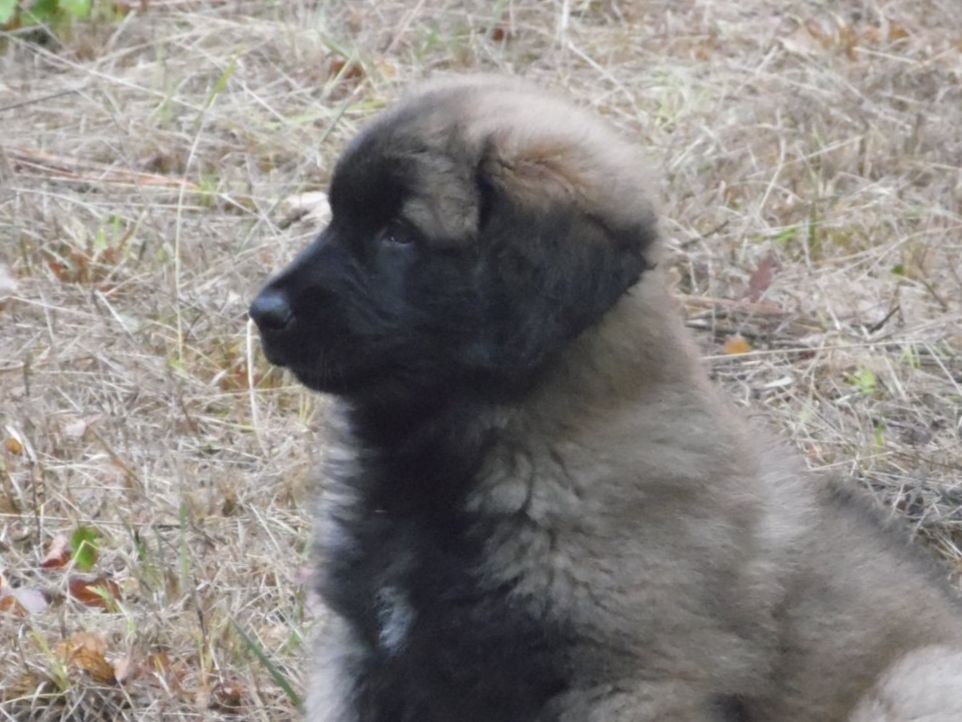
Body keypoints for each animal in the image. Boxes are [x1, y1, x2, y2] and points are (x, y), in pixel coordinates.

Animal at [249, 75, 962, 721]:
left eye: (399, 232)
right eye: (337, 218)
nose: (263, 312)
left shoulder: (629, 681)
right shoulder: (361, 654)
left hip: (917, 679)